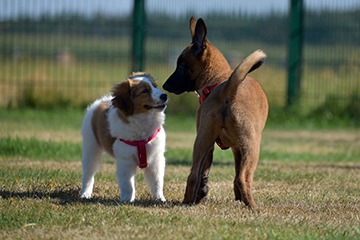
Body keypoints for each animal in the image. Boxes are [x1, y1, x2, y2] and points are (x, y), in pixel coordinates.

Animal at [81, 72, 168, 202]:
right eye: (144, 91)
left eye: (155, 86)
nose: (165, 96)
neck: (142, 123)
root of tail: (100, 102)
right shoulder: (125, 161)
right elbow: (128, 184)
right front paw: (127, 200)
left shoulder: (156, 159)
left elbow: (157, 182)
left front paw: (159, 199)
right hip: (91, 149)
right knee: (88, 173)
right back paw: (85, 194)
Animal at [163, 17, 268, 208]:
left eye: (181, 65)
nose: (165, 86)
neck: (218, 79)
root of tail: (229, 89)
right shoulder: (238, 148)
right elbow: (236, 175)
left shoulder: (221, 146)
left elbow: (206, 174)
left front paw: (203, 196)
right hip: (252, 146)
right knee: (243, 178)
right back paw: (252, 206)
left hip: (201, 141)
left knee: (193, 175)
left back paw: (188, 202)